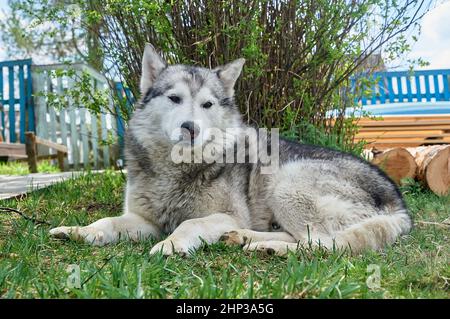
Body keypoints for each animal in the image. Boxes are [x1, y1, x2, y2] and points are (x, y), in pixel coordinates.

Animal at [49, 43, 412, 256]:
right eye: (174, 98)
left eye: (207, 104)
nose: (191, 128)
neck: (177, 170)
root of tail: (400, 204)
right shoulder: (142, 219)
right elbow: (106, 222)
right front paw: (78, 231)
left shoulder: (225, 215)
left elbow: (189, 224)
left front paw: (171, 244)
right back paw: (247, 239)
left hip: (286, 184)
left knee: (322, 244)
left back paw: (265, 246)